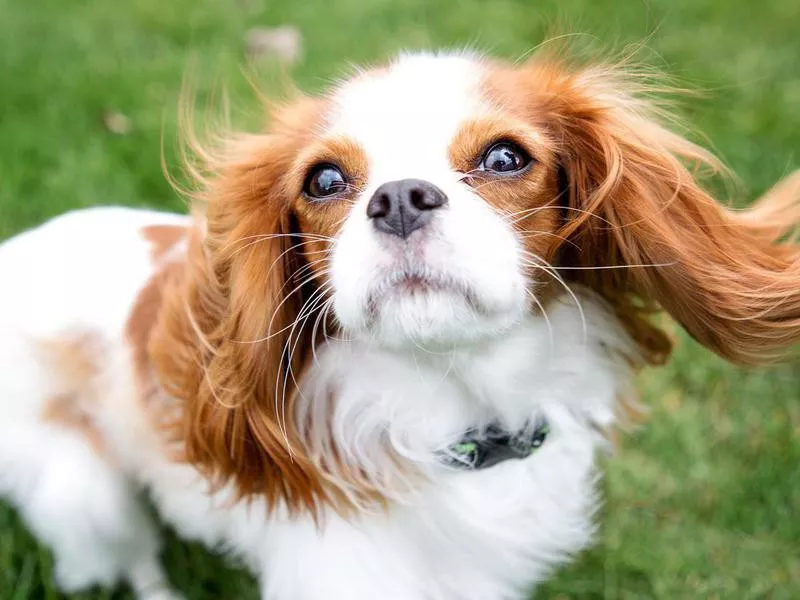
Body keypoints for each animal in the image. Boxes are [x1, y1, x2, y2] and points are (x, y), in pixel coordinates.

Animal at [0, 52, 796, 600]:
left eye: (505, 157)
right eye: (324, 180)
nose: (401, 198)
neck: (453, 408)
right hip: (81, 491)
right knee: (129, 553)